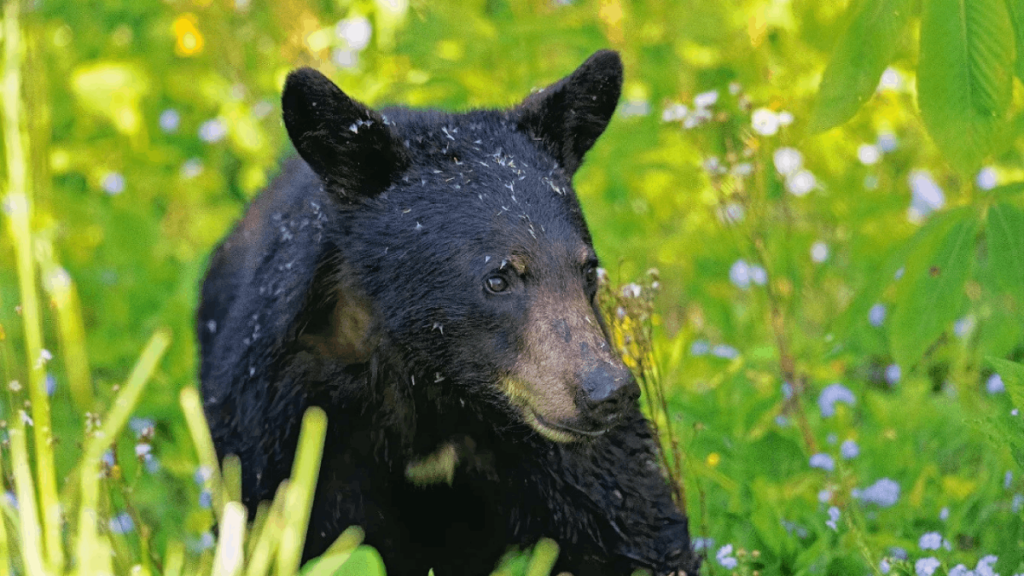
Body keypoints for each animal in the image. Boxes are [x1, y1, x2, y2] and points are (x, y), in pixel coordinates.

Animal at [198, 50, 698, 576]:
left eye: (587, 269)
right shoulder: (293, 425)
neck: (431, 383)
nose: (608, 391)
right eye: (497, 278)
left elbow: (628, 522)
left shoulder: (564, 456)